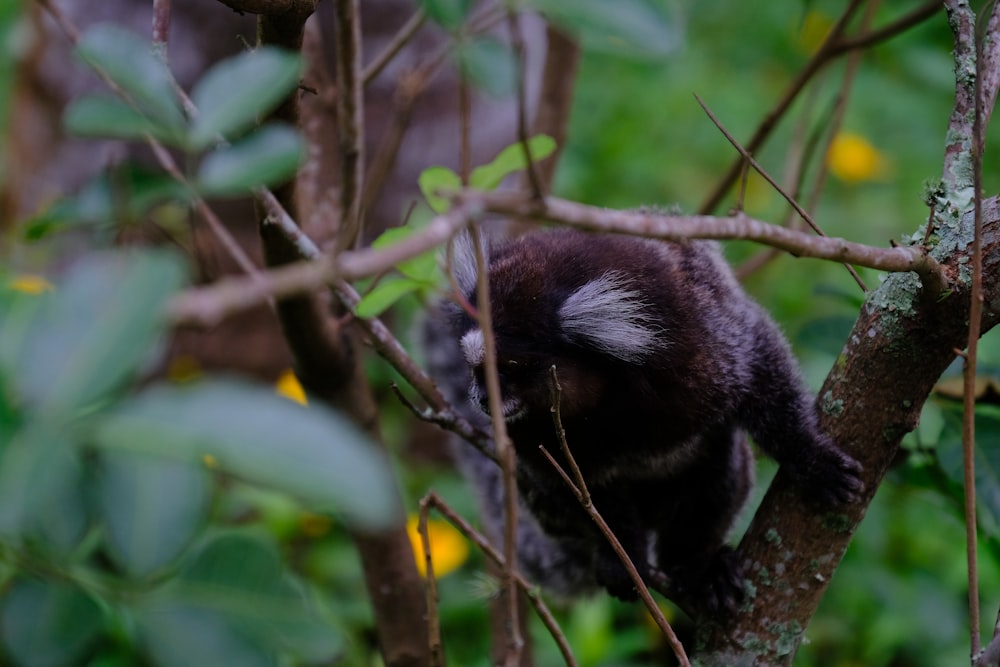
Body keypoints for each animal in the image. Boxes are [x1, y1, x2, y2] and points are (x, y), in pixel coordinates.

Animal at [422, 228, 860, 612]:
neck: (605, 399)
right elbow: (588, 491)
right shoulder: (533, 433)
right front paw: (621, 557)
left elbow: (756, 360)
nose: (482, 399)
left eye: (510, 367)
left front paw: (809, 457)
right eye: (476, 369)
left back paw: (696, 564)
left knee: (719, 463)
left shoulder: (694, 345)